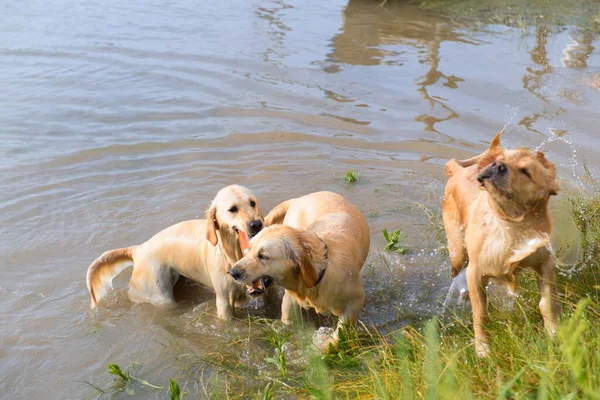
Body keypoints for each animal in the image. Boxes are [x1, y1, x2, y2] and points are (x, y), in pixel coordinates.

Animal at [230, 192, 370, 352]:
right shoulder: (290, 299)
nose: (232, 272)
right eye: (248, 250)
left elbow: (339, 334)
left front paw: (321, 346)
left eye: (262, 256)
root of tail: (300, 198)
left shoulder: (356, 301)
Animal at [442, 132, 560, 356]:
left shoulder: (545, 263)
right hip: (457, 252)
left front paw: (554, 334)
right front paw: (483, 349)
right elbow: (480, 313)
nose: (497, 165)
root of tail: (457, 171)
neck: (511, 225)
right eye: (502, 159)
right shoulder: (476, 271)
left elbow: (547, 303)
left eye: (525, 171)